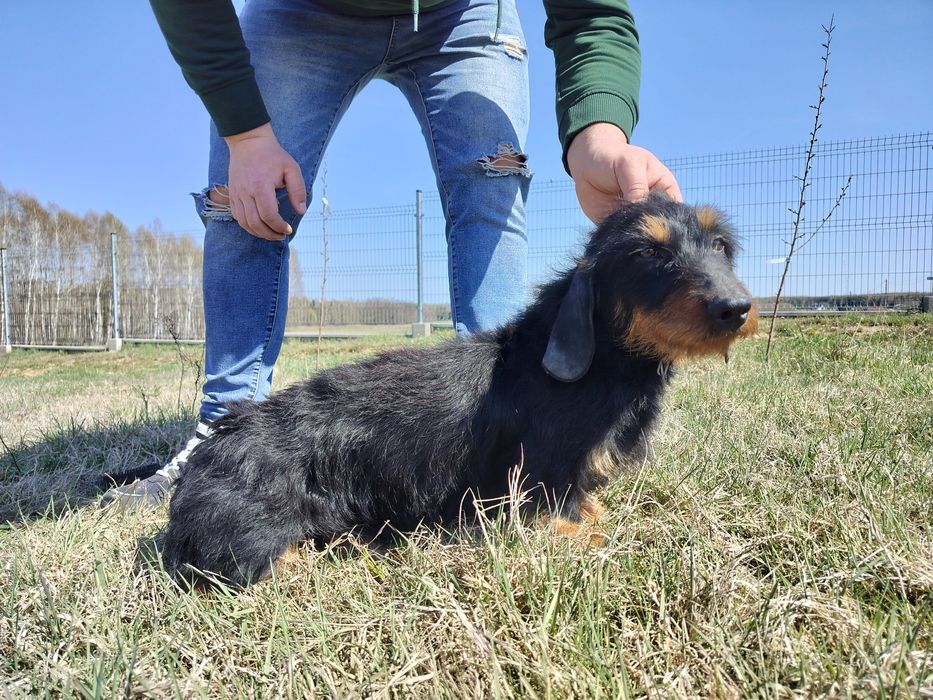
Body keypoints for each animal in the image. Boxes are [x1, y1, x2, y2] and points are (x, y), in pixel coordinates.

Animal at [159, 194, 758, 588]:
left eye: (720, 246)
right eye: (648, 254)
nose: (736, 309)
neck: (609, 364)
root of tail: (209, 454)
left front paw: (594, 513)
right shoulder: (532, 486)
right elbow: (562, 519)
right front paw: (589, 533)